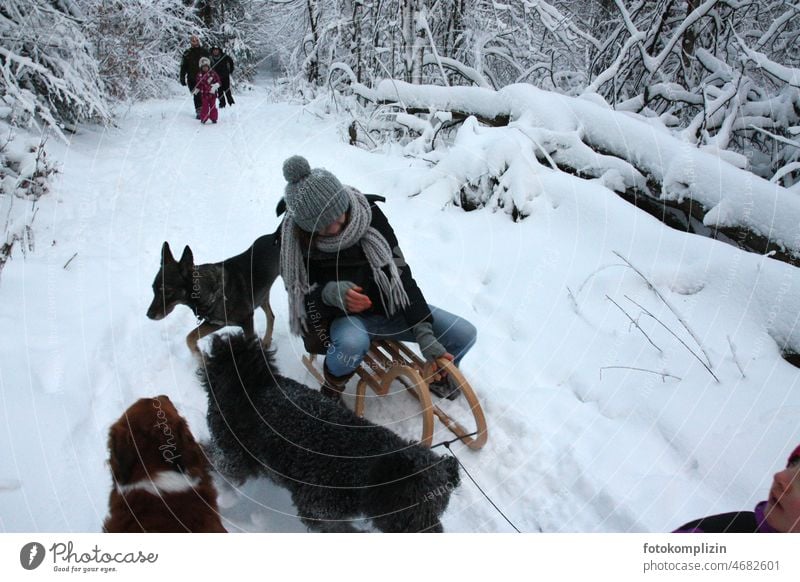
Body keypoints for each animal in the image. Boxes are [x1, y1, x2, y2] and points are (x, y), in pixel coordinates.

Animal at [147, 230, 282, 354]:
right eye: (153, 288)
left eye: (168, 291)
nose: (149, 315)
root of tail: (275, 234)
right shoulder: (215, 323)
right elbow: (190, 336)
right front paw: (199, 355)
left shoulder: (247, 320)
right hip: (261, 295)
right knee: (271, 315)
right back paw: (266, 341)